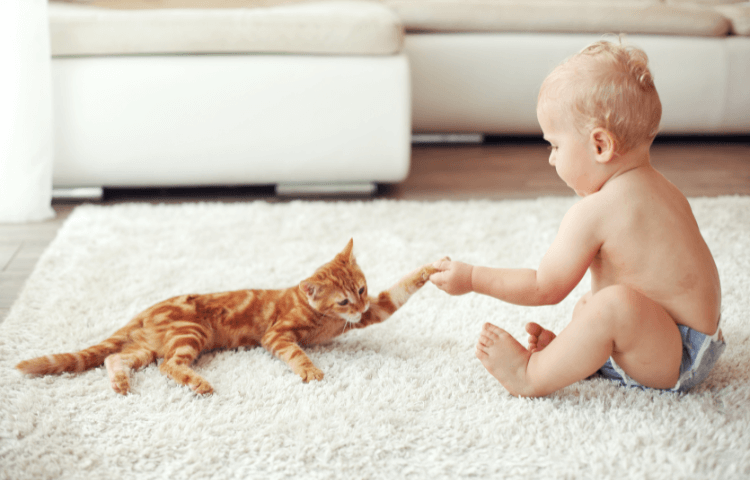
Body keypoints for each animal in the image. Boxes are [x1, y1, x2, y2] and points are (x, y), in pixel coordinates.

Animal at [16, 239, 440, 394]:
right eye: (343, 301)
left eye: (363, 291)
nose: (359, 307)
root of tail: (147, 310)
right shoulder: (277, 335)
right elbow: (297, 353)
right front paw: (309, 370)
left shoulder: (377, 309)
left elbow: (401, 290)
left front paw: (431, 270)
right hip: (189, 334)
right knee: (169, 366)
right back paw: (198, 383)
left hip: (143, 349)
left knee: (114, 358)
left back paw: (120, 383)